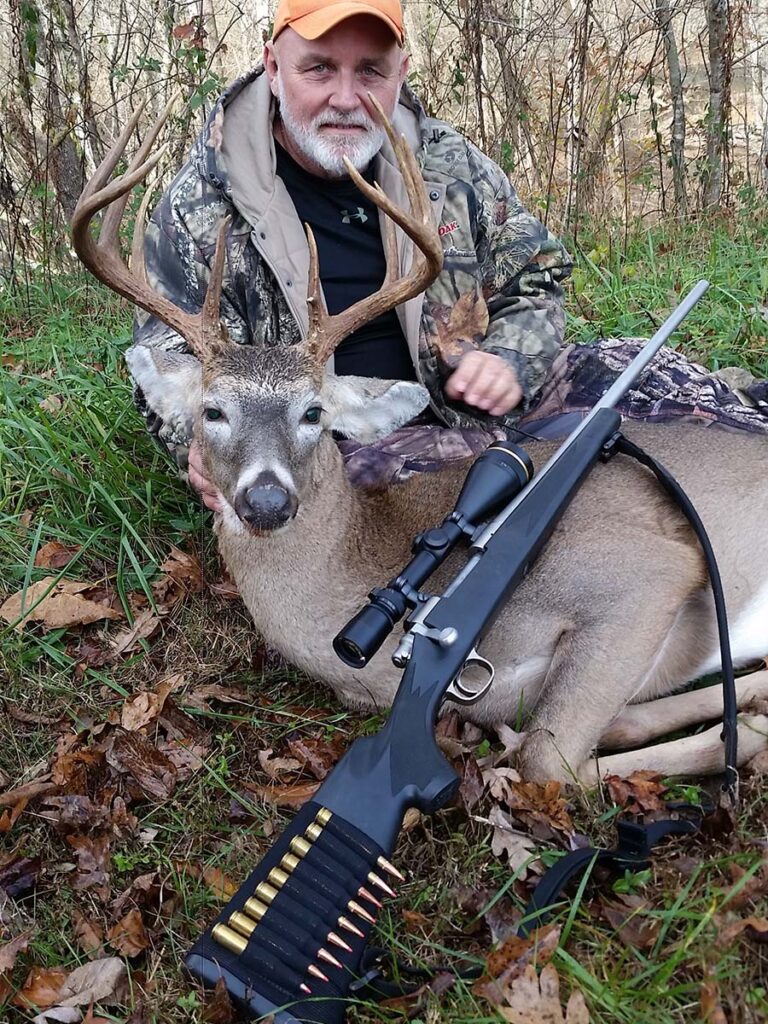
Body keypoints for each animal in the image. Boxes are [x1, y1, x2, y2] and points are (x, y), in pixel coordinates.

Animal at [71, 101, 768, 788]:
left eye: (314, 411)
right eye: (212, 411)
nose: (266, 501)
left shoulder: (648, 569)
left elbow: (546, 762)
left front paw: (746, 733)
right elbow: (572, 742)